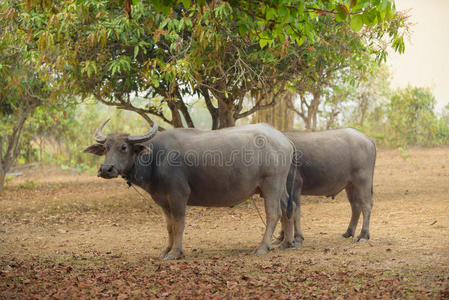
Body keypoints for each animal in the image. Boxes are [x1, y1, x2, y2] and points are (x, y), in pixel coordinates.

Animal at [84, 120, 296, 258]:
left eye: (123, 147)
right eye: (106, 148)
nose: (106, 169)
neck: (155, 158)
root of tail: (284, 141)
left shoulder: (178, 196)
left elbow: (179, 223)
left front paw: (176, 252)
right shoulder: (162, 200)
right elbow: (169, 226)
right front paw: (166, 250)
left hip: (271, 184)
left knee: (273, 214)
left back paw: (262, 247)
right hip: (280, 187)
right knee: (288, 209)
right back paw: (286, 243)